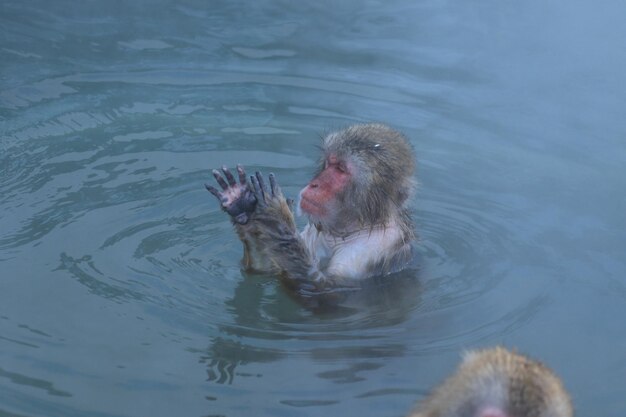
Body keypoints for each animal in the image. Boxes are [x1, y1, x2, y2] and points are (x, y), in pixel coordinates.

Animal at [207, 122, 416, 292]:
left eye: (340, 169)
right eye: (329, 163)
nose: (315, 184)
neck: (351, 227)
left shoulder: (374, 247)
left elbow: (324, 289)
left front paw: (277, 218)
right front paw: (241, 204)